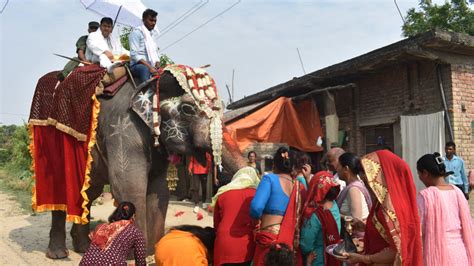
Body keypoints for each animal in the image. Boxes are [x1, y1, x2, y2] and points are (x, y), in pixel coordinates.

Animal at [30, 64, 246, 258]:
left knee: (89, 193)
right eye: (187, 109)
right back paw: (58, 254)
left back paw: (83, 247)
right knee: (60, 192)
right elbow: (129, 186)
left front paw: (153, 252)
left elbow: (159, 190)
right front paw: (135, 254)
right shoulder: (123, 129)